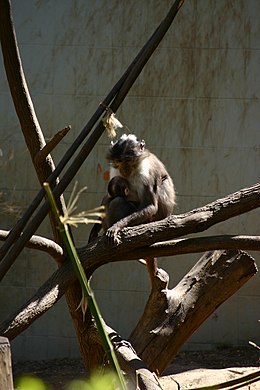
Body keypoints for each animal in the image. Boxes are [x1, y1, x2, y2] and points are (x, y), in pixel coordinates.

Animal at [88, 134, 176, 284]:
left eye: (128, 161)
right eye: (119, 161)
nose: (124, 169)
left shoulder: (145, 172)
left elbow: (150, 206)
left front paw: (116, 227)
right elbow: (108, 194)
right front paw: (94, 230)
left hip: (148, 220)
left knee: (117, 201)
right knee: (109, 199)